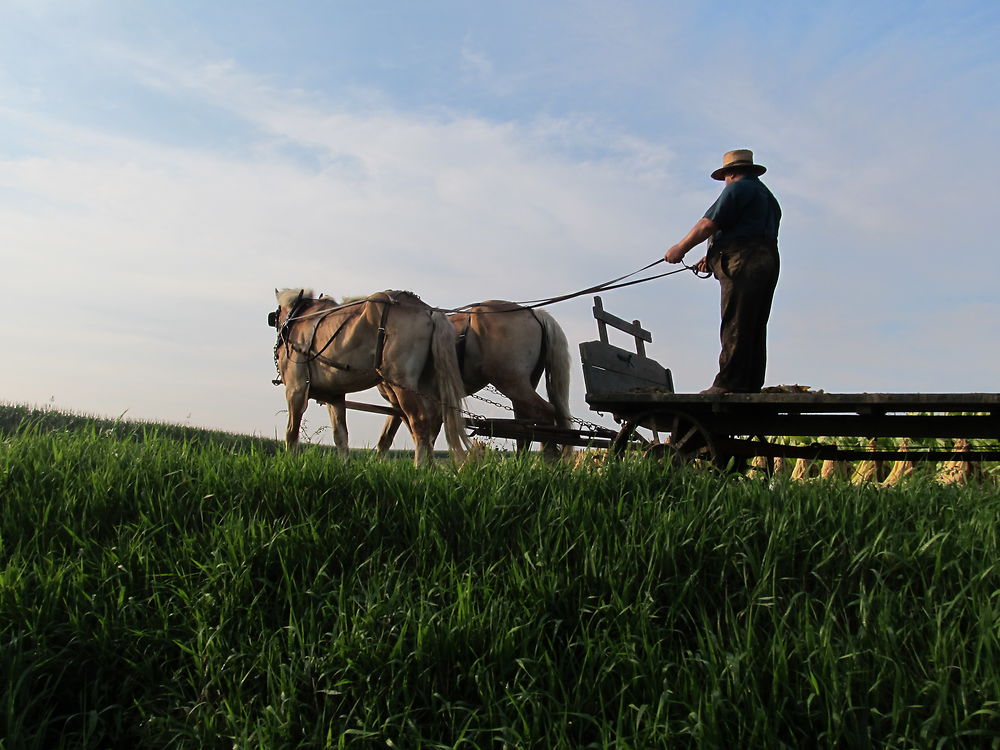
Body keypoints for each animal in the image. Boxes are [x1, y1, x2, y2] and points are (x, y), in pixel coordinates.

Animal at [270, 288, 472, 464]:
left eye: (277, 315)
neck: (298, 320)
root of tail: (429, 311)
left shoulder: (296, 389)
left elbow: (291, 432)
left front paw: (290, 463)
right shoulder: (335, 397)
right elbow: (340, 436)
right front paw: (345, 466)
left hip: (401, 383)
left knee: (420, 421)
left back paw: (419, 469)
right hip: (426, 386)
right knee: (432, 423)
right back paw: (430, 469)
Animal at [374, 302, 576, 462]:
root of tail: (533, 313)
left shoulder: (402, 396)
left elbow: (419, 433)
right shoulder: (406, 401)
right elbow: (388, 438)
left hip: (511, 382)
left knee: (545, 413)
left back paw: (548, 462)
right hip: (522, 387)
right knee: (525, 427)